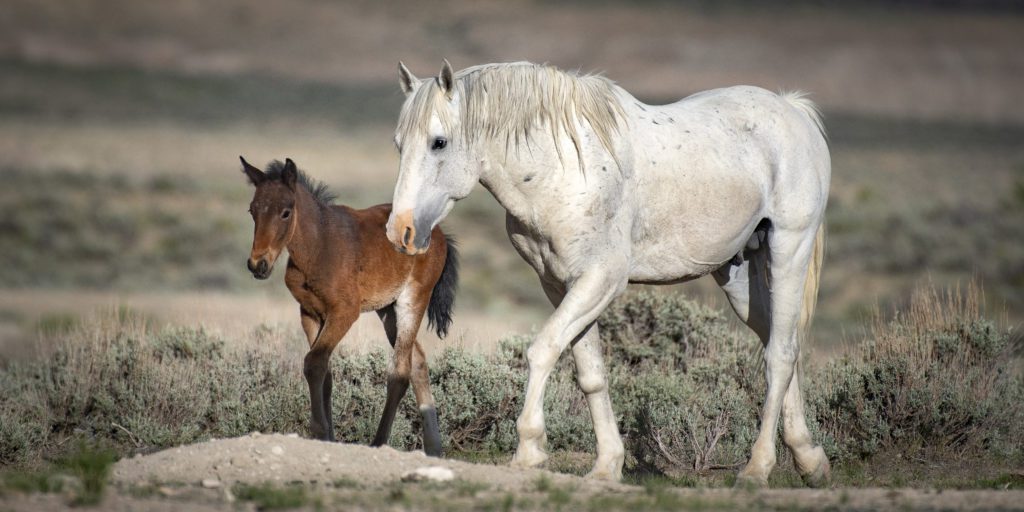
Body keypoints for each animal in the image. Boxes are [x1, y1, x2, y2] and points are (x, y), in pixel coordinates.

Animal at [239, 156, 456, 456]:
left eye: (285, 212)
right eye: (252, 210)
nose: (257, 265)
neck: (319, 246)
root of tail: (440, 233)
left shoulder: (344, 313)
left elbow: (314, 362)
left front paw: (319, 431)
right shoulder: (310, 313)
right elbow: (323, 370)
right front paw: (328, 435)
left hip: (413, 300)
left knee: (400, 371)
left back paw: (379, 442)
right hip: (387, 310)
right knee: (419, 362)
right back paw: (434, 448)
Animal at [385, 60, 831, 487]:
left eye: (439, 142)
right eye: (399, 144)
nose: (399, 231)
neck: (561, 168)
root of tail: (793, 109)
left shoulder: (601, 280)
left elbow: (543, 349)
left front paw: (529, 449)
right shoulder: (560, 284)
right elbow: (591, 374)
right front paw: (606, 466)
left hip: (789, 250)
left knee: (779, 356)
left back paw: (757, 468)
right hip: (739, 276)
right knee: (781, 344)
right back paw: (810, 460)